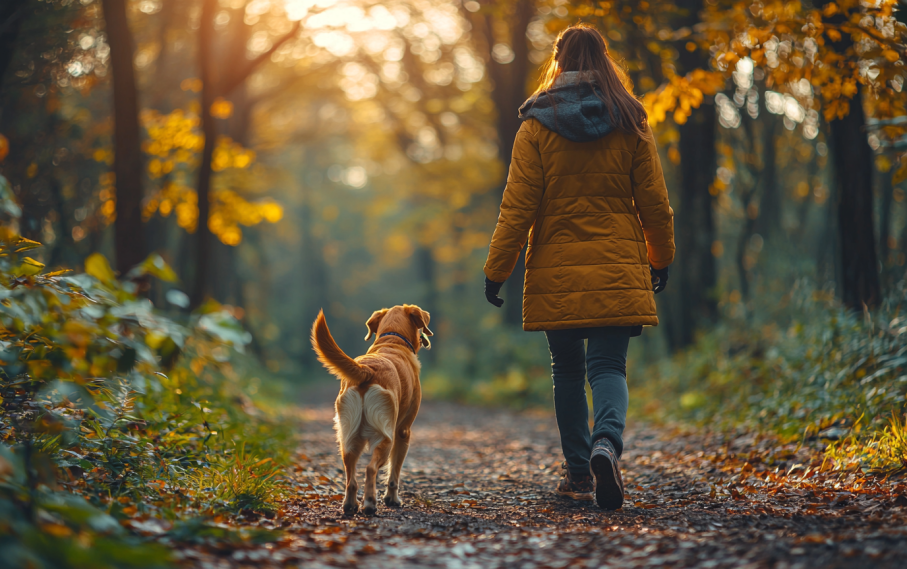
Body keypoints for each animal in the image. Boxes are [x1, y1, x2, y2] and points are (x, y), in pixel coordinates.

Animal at [312, 306, 432, 516]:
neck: (392, 340)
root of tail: (367, 369)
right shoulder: (403, 431)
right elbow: (394, 473)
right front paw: (392, 499)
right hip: (386, 438)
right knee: (370, 469)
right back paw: (369, 503)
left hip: (347, 438)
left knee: (351, 476)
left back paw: (350, 505)